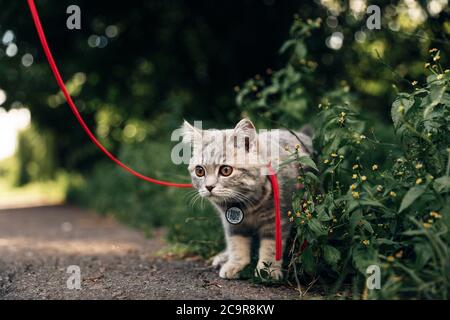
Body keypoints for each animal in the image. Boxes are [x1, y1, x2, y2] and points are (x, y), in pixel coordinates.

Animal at [180, 118, 312, 280]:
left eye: (226, 170)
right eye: (200, 171)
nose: (209, 186)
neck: (246, 203)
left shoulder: (278, 217)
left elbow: (271, 246)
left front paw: (267, 270)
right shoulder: (232, 223)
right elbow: (236, 242)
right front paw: (235, 264)